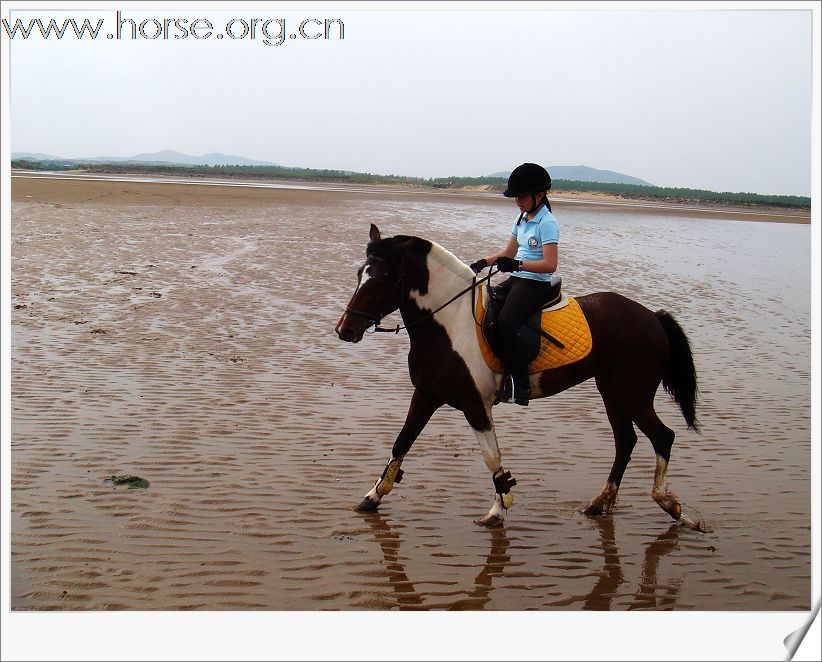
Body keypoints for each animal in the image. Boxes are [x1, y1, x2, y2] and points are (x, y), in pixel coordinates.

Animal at [334, 226, 700, 532]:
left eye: (382, 279)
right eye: (359, 274)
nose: (344, 330)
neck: (449, 324)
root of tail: (652, 317)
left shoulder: (474, 404)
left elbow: (492, 457)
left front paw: (498, 510)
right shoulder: (425, 395)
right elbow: (402, 442)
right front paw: (373, 496)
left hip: (631, 394)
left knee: (662, 437)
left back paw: (671, 506)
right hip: (611, 392)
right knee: (625, 442)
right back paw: (600, 504)